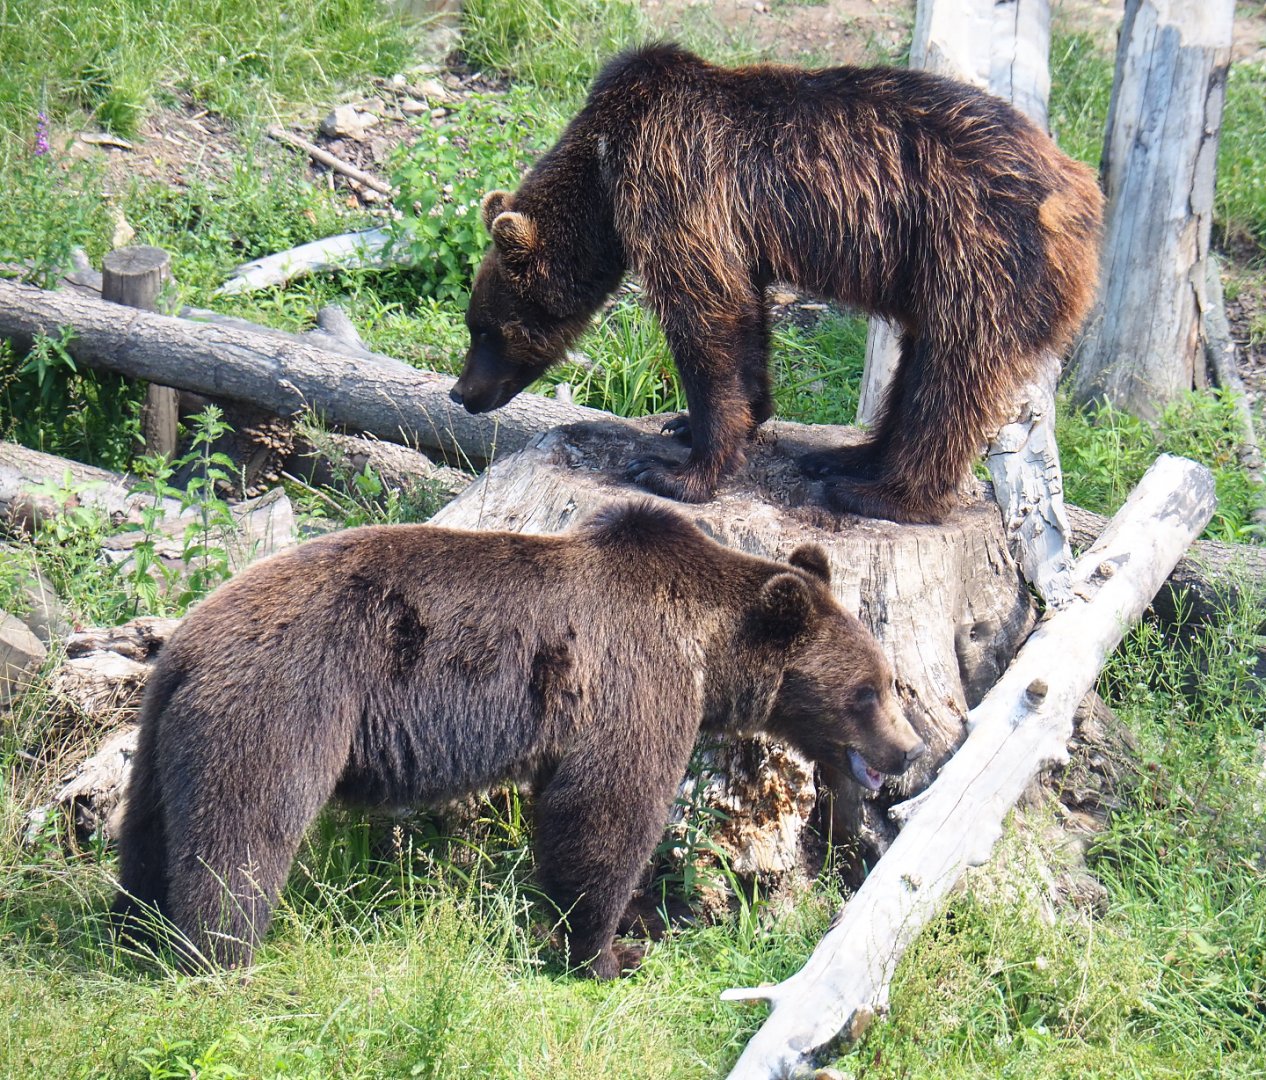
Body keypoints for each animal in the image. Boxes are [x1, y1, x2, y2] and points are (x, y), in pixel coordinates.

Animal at [110, 501, 925, 977]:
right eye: (867, 691)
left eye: (891, 681)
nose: (909, 749)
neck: (707, 648)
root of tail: (186, 644)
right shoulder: (635, 680)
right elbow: (604, 814)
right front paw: (608, 949)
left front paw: (628, 926)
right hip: (287, 702)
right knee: (244, 830)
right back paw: (220, 955)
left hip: (166, 733)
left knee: (149, 830)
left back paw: (135, 931)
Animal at [451, 43, 1104, 524]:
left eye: (484, 329)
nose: (461, 393)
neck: (603, 176)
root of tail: (1082, 191)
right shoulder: (736, 230)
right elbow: (744, 317)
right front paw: (697, 421)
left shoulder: (673, 181)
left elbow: (705, 315)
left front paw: (674, 471)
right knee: (921, 366)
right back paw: (846, 457)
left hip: (977, 252)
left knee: (952, 373)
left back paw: (885, 494)